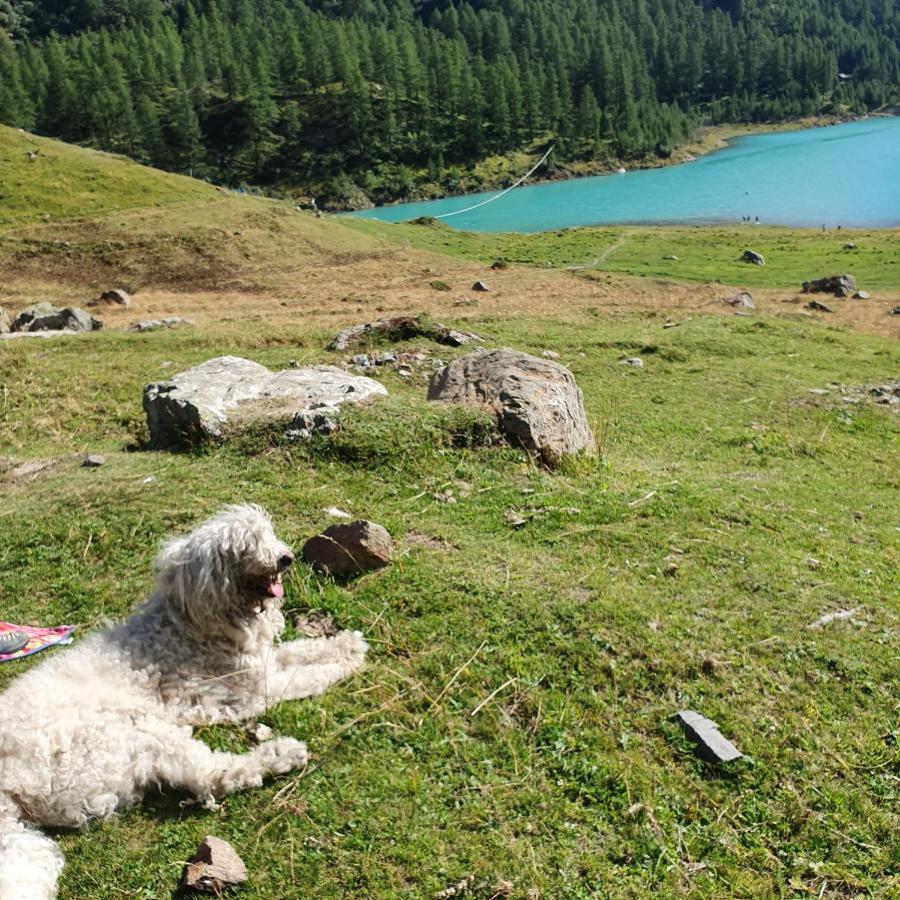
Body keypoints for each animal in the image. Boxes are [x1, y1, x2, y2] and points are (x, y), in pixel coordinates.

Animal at [0, 506, 370, 900]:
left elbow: (303, 651)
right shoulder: (253, 689)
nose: (286, 558)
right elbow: (309, 676)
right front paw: (343, 664)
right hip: (125, 734)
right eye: (244, 546)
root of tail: (6, 787)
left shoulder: (263, 665)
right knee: (212, 776)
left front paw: (347, 644)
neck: (187, 626)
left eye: (267, 534)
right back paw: (280, 755)